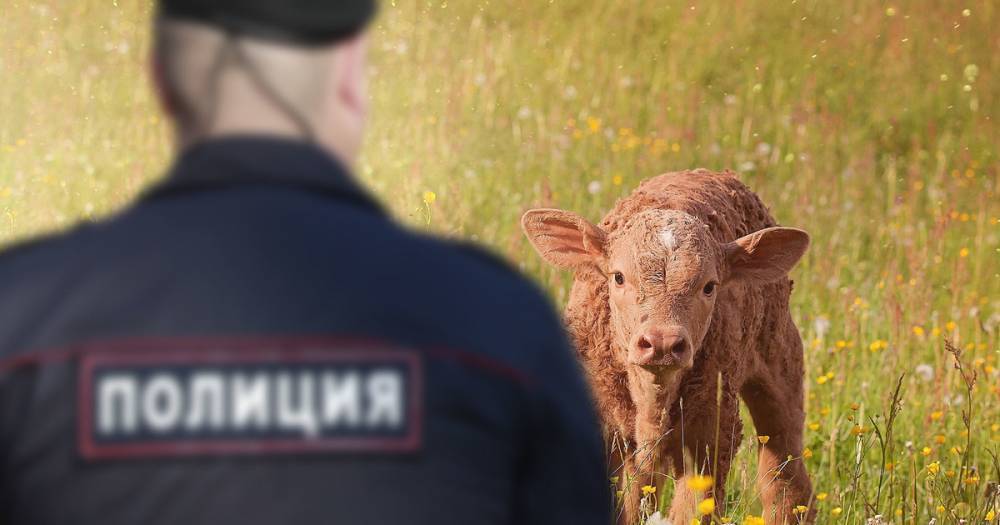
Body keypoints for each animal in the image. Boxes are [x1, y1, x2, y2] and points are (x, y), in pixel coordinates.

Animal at [524, 170, 812, 520]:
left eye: (709, 286)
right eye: (618, 277)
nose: (662, 343)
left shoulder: (712, 435)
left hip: (781, 363)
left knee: (784, 475)